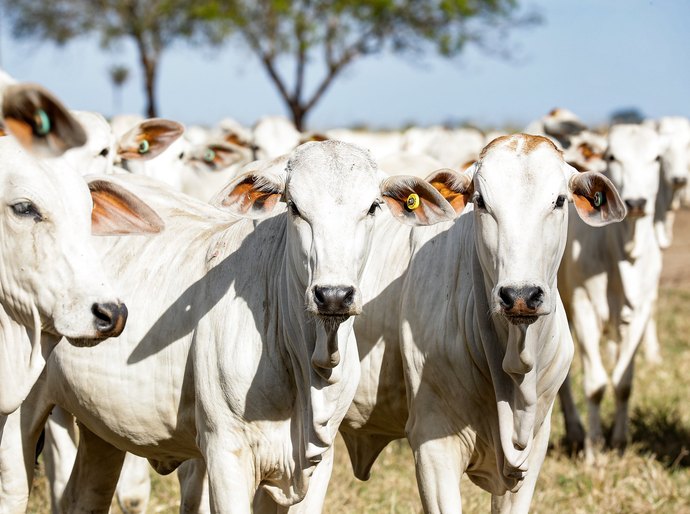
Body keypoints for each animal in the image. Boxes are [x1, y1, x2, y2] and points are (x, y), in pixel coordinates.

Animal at [8, 141, 454, 512]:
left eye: (373, 207)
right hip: (20, 416)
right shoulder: (226, 456)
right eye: (294, 207)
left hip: (100, 429)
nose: (332, 295)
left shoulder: (317, 463)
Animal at [552, 123, 660, 456]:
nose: (637, 203)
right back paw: (576, 431)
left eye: (657, 157)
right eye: (613, 156)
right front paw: (594, 448)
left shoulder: (642, 309)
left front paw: (620, 442)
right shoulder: (584, 305)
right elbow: (596, 384)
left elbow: (623, 383)